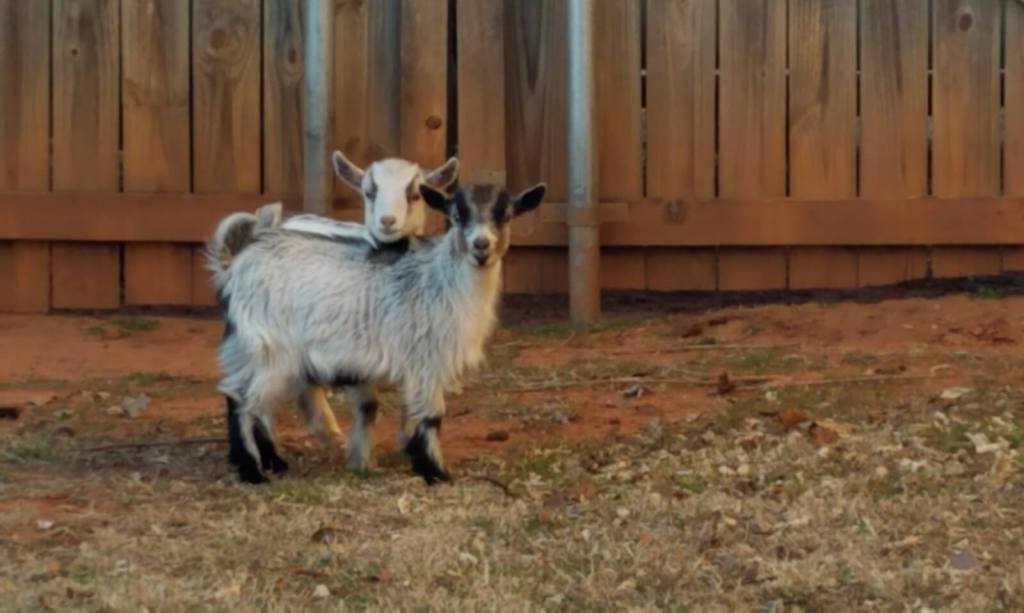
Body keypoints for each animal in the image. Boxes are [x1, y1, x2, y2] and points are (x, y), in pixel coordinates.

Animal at [215, 181, 546, 484]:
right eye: (455, 216)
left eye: (506, 215)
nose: (481, 245)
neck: (441, 280)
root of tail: (236, 265)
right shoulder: (426, 360)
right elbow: (431, 416)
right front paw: (436, 472)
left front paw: (415, 458)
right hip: (268, 347)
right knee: (243, 401)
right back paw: (252, 470)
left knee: (249, 400)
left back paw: (270, 461)